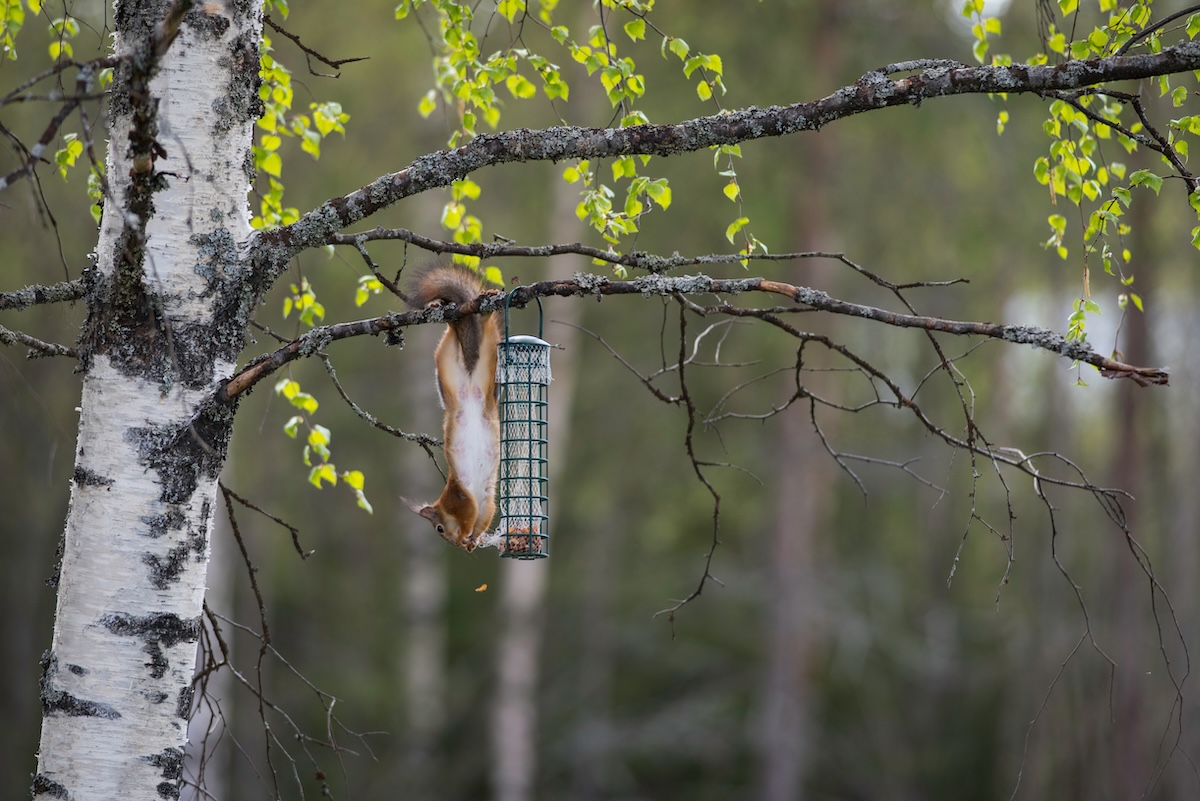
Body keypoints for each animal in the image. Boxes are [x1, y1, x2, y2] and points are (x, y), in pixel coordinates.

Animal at [403, 263, 503, 551]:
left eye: (438, 528)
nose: (453, 543)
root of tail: (469, 386)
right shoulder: (487, 502)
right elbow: (483, 519)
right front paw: (472, 541)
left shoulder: (461, 497)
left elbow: (471, 514)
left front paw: (465, 536)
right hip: (469, 365)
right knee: (477, 336)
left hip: (458, 364)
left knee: (454, 332)